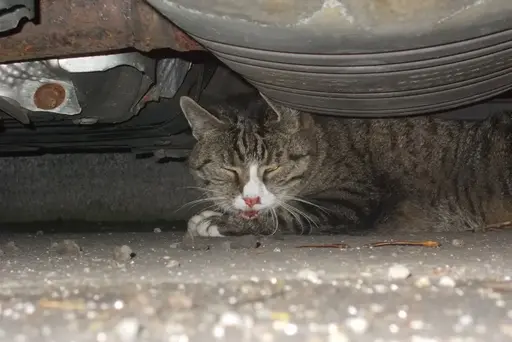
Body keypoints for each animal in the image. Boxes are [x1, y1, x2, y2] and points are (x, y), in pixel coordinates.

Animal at [178, 93, 512, 238]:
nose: (250, 199)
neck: (324, 146)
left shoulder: (351, 200)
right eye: (229, 170)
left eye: (273, 168)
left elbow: (287, 217)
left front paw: (220, 222)